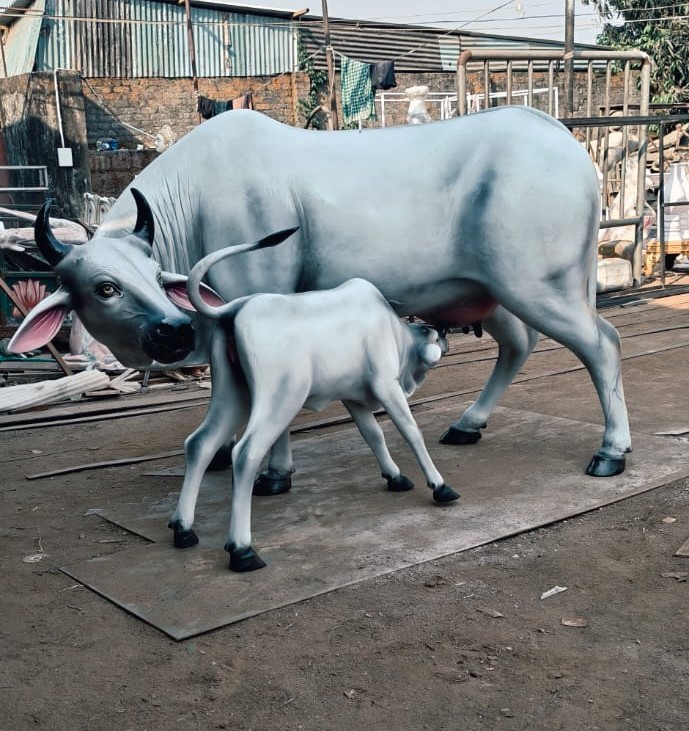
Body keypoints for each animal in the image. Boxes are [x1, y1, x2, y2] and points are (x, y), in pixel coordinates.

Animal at [8, 106, 632, 479]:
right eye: (104, 287)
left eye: (153, 279)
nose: (173, 331)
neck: (196, 197)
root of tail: (558, 134)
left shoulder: (259, 297)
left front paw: (272, 471)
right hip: (488, 290)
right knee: (519, 345)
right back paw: (467, 424)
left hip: (539, 286)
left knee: (602, 343)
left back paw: (611, 450)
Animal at [170, 236, 459, 570]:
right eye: (433, 335)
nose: (446, 335)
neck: (397, 336)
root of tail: (235, 307)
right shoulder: (387, 386)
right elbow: (410, 431)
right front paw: (439, 485)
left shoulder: (352, 397)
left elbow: (373, 434)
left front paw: (395, 475)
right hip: (281, 397)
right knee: (245, 453)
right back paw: (242, 549)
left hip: (233, 394)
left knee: (199, 443)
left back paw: (183, 529)